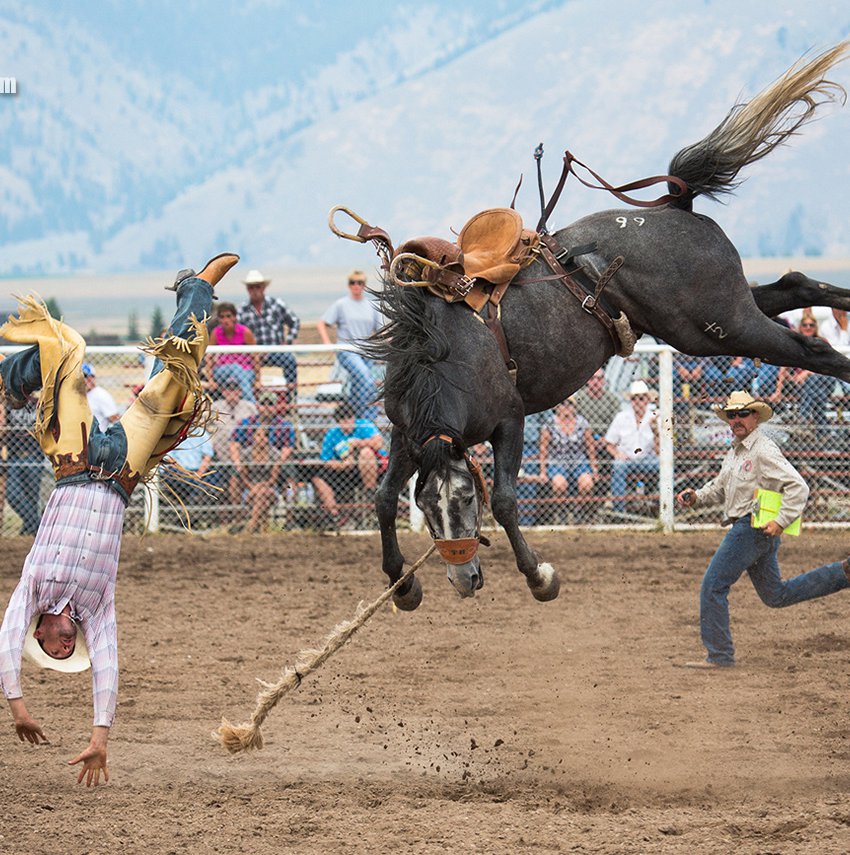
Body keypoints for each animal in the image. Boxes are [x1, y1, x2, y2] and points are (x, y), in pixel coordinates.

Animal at [362, 45, 848, 608]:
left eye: (464, 499)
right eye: (426, 504)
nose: (464, 580)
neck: (448, 355)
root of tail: (674, 205)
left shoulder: (510, 419)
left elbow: (504, 500)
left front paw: (539, 576)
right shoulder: (407, 431)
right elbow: (383, 498)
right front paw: (402, 584)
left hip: (720, 325)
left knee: (811, 348)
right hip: (717, 315)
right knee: (796, 286)